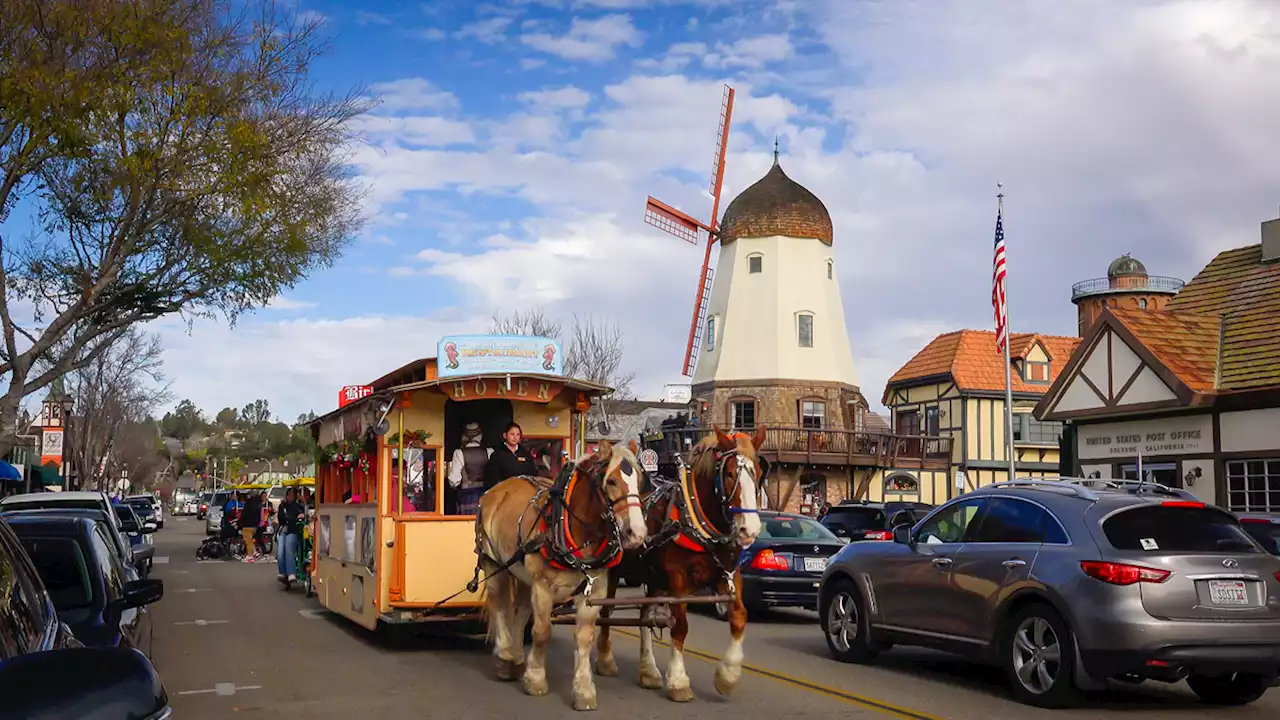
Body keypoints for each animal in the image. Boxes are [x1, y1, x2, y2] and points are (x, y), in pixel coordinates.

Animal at [476, 440, 645, 707]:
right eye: (611, 481)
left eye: (640, 479)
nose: (636, 533)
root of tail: (497, 489)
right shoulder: (543, 586)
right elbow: (542, 632)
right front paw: (535, 680)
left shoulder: (593, 589)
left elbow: (584, 637)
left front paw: (584, 690)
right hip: (493, 563)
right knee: (499, 605)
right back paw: (504, 656)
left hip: (522, 574)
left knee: (519, 610)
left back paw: (516, 657)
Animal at [593, 422, 762, 696]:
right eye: (729, 474)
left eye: (758, 472)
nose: (751, 530)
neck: (698, 519)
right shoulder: (677, 577)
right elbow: (680, 626)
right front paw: (678, 680)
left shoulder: (728, 573)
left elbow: (739, 616)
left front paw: (728, 675)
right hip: (613, 572)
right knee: (606, 611)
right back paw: (606, 660)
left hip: (652, 576)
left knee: (644, 615)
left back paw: (648, 671)